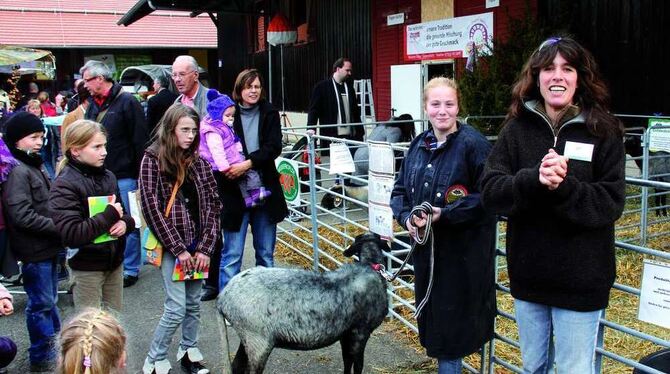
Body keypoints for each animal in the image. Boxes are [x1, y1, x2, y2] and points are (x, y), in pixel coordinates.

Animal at [218, 234, 392, 374]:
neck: (371, 267)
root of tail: (223, 298)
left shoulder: (346, 334)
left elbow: (347, 362)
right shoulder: (360, 332)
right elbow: (358, 365)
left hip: (247, 338)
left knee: (236, 366)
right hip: (257, 340)